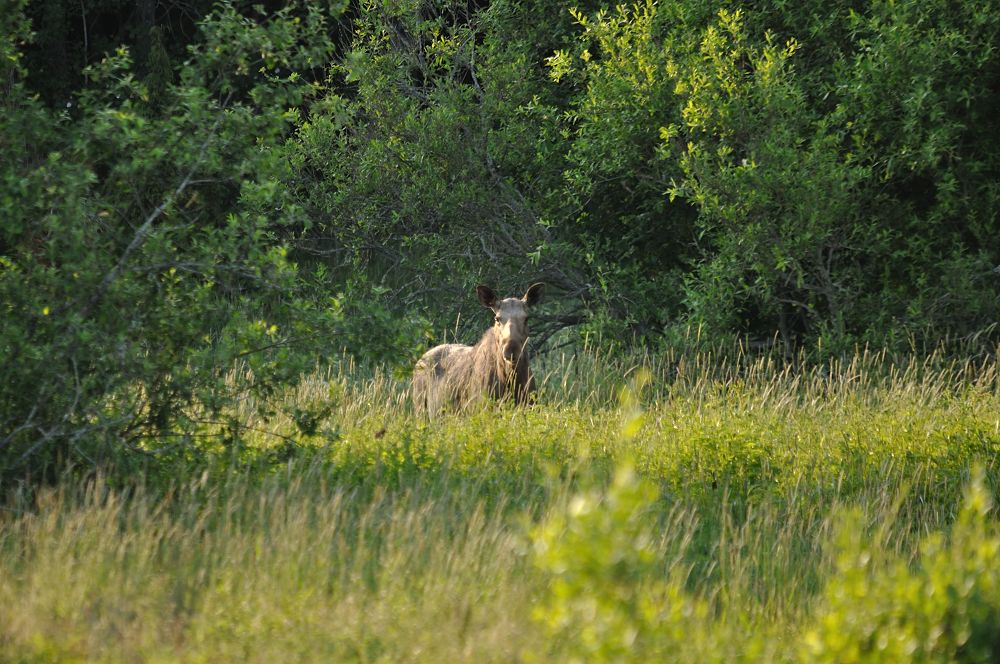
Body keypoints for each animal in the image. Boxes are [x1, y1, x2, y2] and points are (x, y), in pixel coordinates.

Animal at [410, 282, 544, 418]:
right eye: (497, 318)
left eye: (526, 318)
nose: (511, 349)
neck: (510, 379)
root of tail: (419, 361)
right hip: (420, 412)